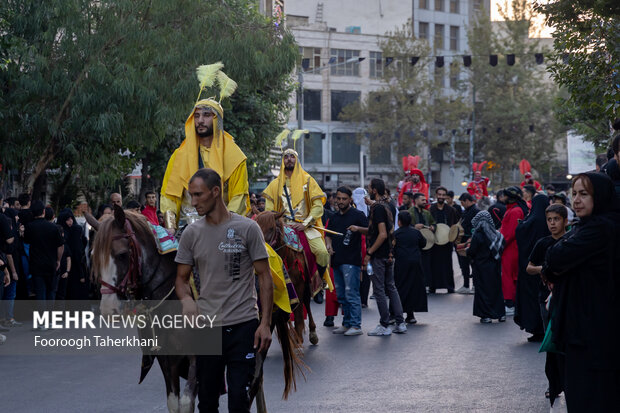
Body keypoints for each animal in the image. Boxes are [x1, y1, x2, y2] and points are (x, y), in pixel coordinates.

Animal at [92, 206, 302, 412]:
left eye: (122, 255)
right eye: (95, 258)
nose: (108, 309)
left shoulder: (196, 357)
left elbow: (187, 403)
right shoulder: (167, 359)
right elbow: (174, 403)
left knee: (252, 383)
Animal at [254, 211, 320, 346]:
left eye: (271, 228)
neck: (286, 256)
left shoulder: (299, 285)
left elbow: (299, 313)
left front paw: (298, 338)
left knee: (306, 302)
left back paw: (312, 333)